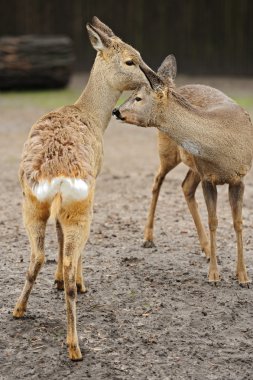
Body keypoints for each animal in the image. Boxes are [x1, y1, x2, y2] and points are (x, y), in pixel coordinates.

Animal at [12, 17, 151, 362]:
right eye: (130, 60)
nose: (150, 81)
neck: (90, 116)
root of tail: (57, 176)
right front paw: (74, 281)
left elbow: (58, 239)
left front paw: (57, 282)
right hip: (81, 206)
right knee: (68, 253)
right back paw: (74, 345)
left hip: (31, 203)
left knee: (38, 254)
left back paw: (19, 309)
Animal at [113, 53, 253, 284]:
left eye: (138, 98)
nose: (116, 111)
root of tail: (178, 85)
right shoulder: (208, 178)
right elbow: (214, 221)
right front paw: (214, 275)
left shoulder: (239, 178)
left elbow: (238, 222)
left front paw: (242, 275)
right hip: (167, 151)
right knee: (157, 180)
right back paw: (148, 238)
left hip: (192, 165)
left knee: (185, 187)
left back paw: (206, 249)